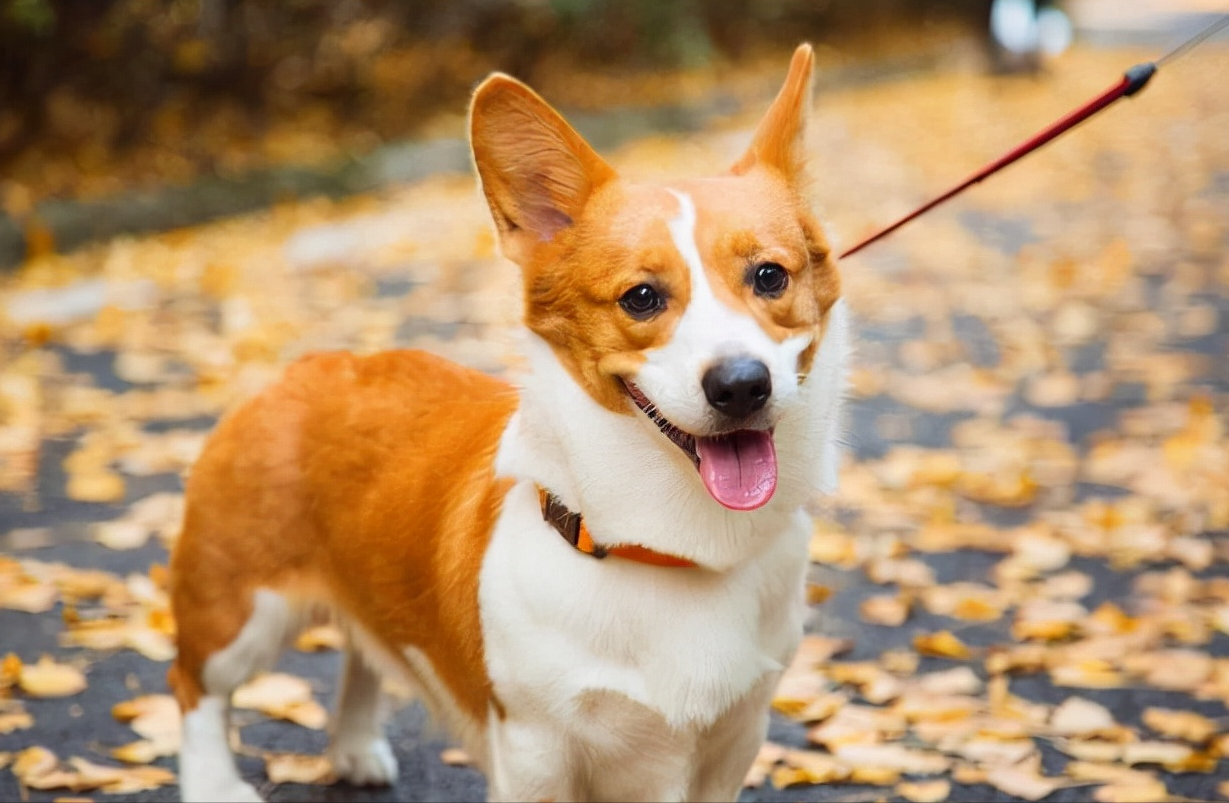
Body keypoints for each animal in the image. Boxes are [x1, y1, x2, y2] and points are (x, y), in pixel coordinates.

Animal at [170, 43, 845, 801]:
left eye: (769, 277)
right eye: (641, 297)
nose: (741, 386)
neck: (670, 548)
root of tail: (310, 365)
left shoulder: (733, 740)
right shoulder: (534, 750)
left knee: (364, 649)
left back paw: (355, 748)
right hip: (241, 614)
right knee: (194, 685)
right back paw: (214, 783)